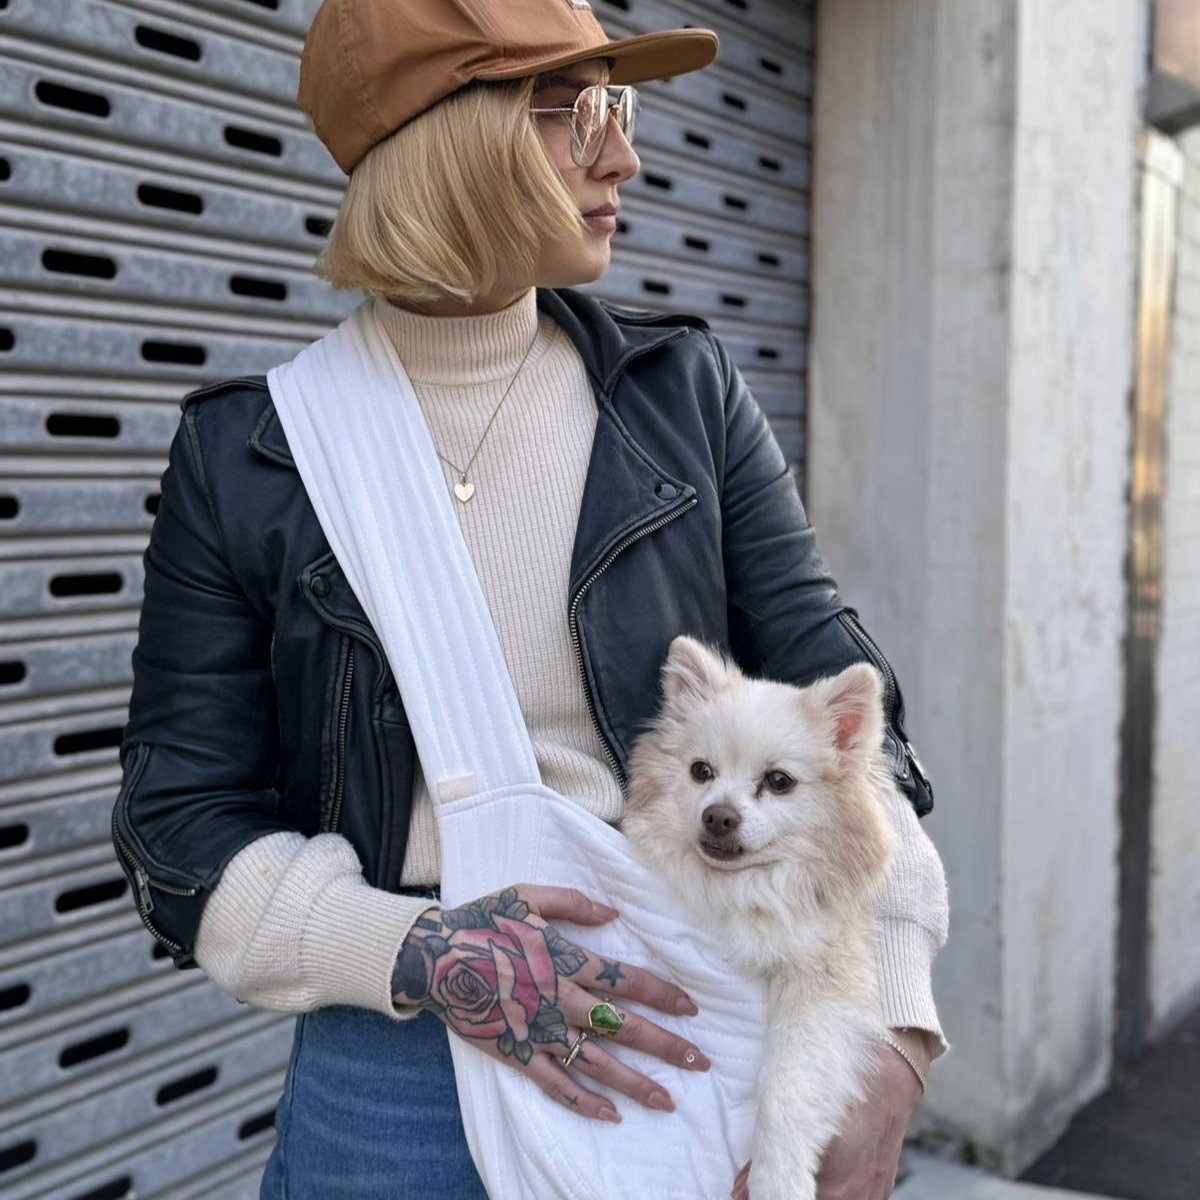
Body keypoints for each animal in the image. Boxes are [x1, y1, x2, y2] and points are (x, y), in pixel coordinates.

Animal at [624, 633, 897, 1195]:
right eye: (701, 772)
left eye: (778, 781)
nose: (719, 815)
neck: (749, 887)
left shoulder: (821, 986)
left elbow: (786, 1089)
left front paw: (777, 1180)